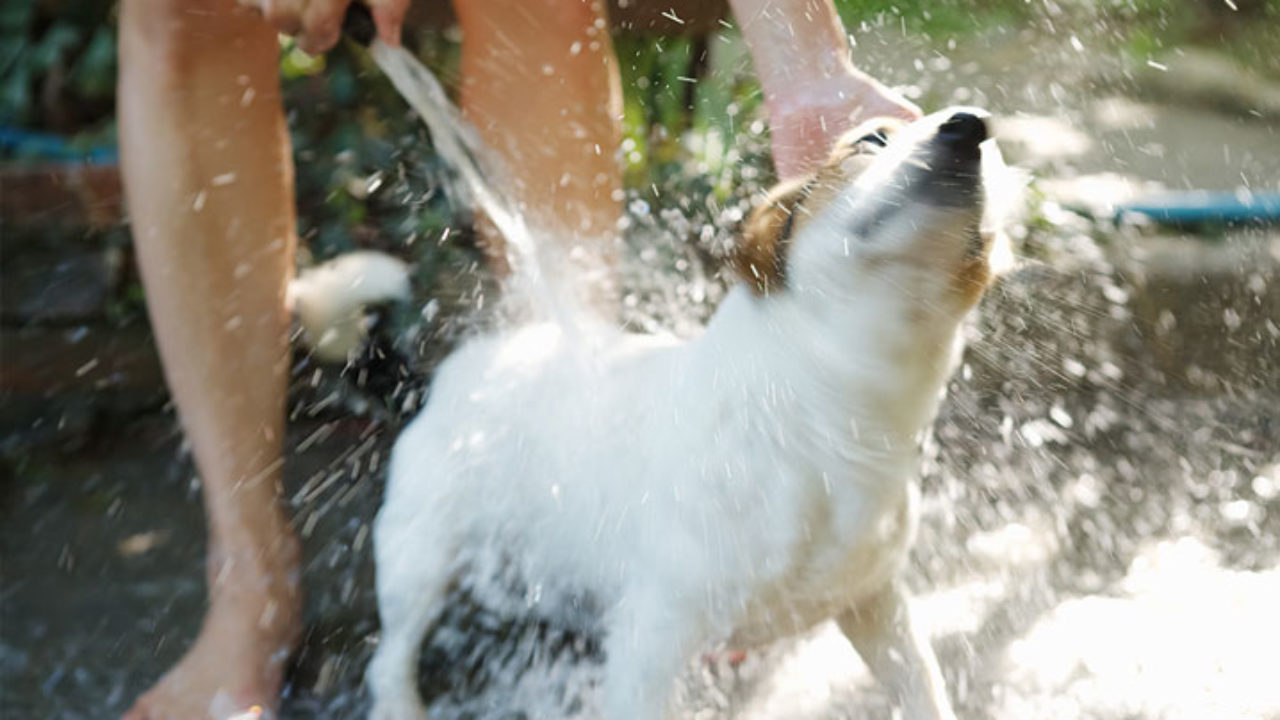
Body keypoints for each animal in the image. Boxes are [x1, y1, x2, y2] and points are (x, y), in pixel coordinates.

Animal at [366, 107, 1003, 717]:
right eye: (871, 139)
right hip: (418, 553)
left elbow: (922, 687)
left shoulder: (874, 601)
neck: (821, 415)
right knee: (389, 660)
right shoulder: (650, 639)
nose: (971, 125)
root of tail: (473, 360)